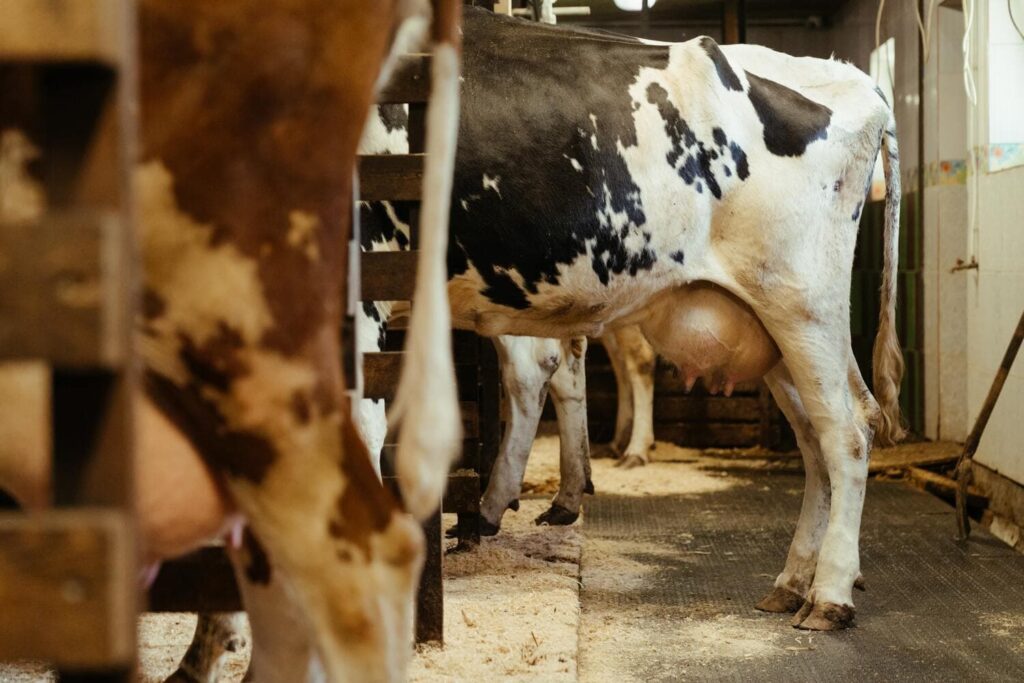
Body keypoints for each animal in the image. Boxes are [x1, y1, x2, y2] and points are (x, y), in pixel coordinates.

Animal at [444, 7, 909, 634]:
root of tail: (858, 80)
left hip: (803, 307)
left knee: (849, 430)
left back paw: (829, 595)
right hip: (774, 329)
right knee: (819, 436)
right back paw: (790, 582)